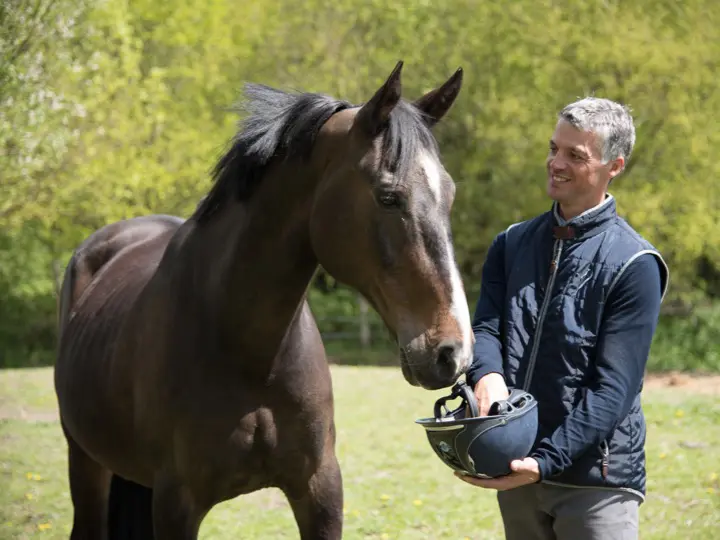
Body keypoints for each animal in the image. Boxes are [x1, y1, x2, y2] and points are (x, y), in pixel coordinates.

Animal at [56, 61, 472, 536]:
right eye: (388, 196)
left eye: (449, 195)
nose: (453, 352)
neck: (246, 348)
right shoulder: (176, 502)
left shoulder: (320, 488)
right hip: (85, 461)